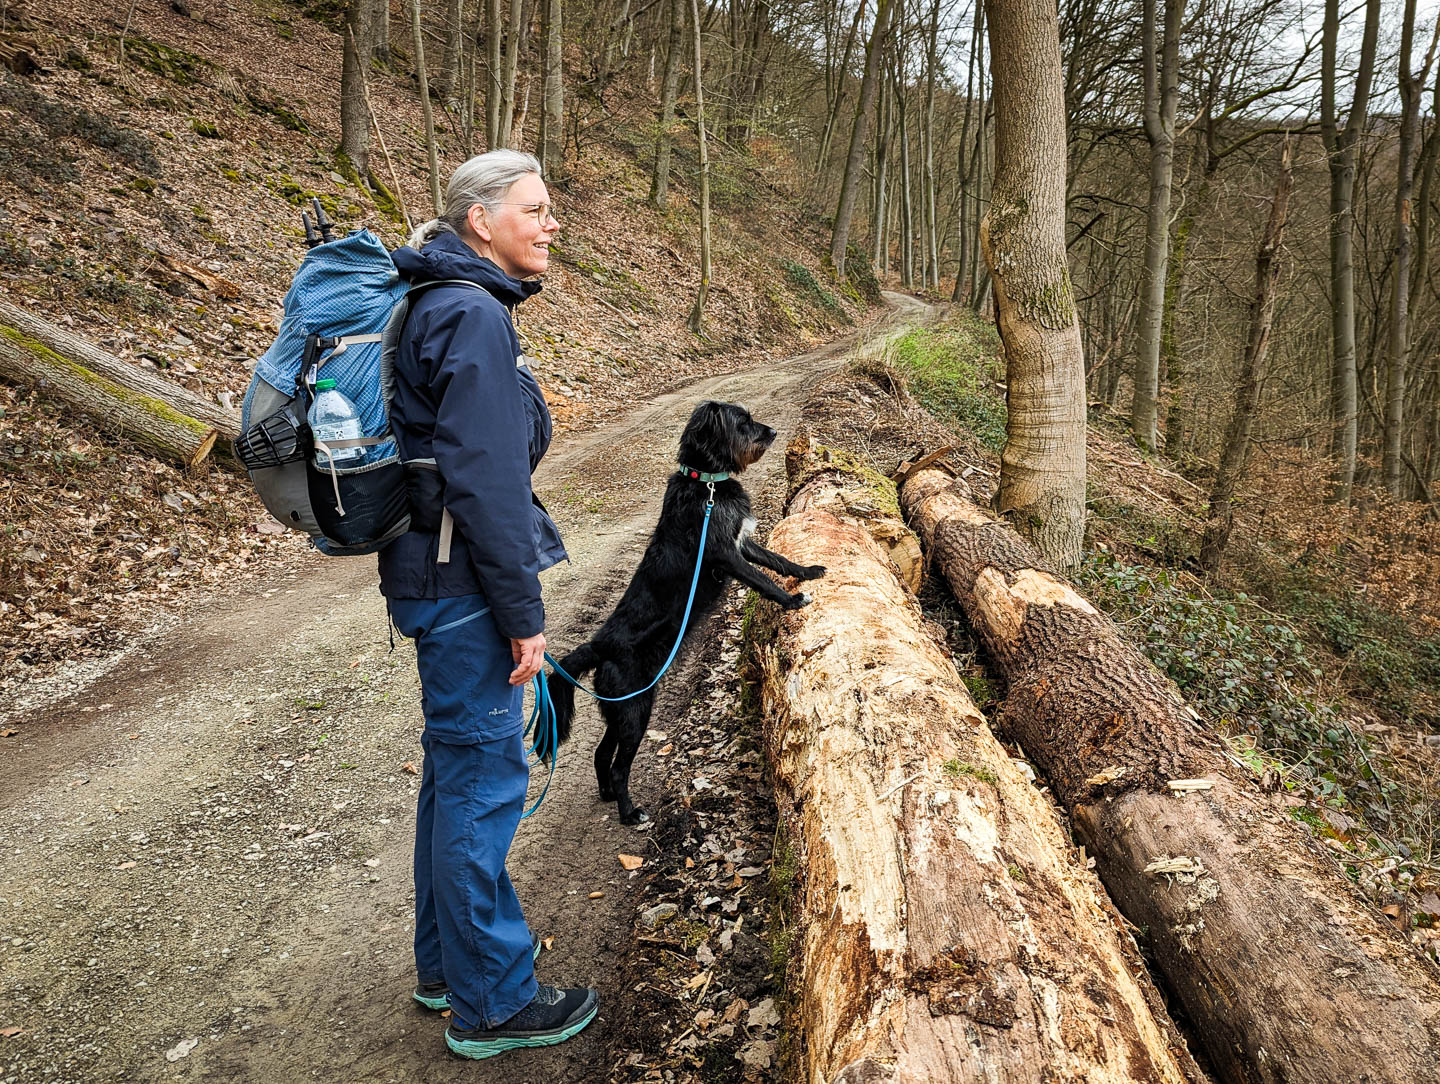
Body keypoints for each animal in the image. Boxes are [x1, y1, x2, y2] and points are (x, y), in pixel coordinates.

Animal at [547, 403, 823, 817]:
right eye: (742, 422)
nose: (773, 432)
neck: (707, 483)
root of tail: (598, 646)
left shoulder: (742, 544)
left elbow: (778, 560)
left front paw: (808, 571)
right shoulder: (725, 553)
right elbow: (764, 580)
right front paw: (792, 601)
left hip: (621, 709)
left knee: (600, 754)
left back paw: (610, 796)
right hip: (636, 711)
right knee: (618, 765)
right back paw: (629, 812)